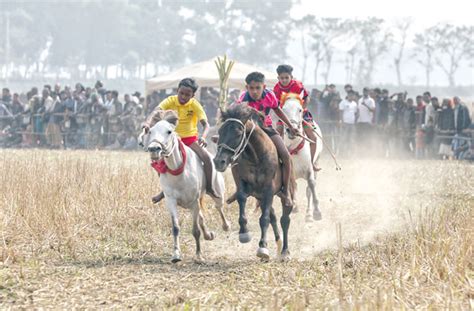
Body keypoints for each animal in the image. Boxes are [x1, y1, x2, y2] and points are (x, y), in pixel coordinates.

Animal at [139, 111, 230, 262]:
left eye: (169, 131)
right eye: (150, 131)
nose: (154, 149)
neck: (179, 173)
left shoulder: (194, 202)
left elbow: (196, 230)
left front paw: (198, 255)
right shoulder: (171, 201)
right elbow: (176, 227)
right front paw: (176, 254)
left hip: (217, 193)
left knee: (219, 207)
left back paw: (226, 226)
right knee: (202, 217)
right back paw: (208, 235)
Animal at [214, 105, 294, 260]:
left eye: (238, 133)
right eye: (220, 131)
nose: (218, 161)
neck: (255, 157)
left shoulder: (269, 189)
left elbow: (264, 219)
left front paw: (262, 247)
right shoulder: (244, 185)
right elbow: (241, 198)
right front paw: (244, 232)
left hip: (287, 193)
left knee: (285, 220)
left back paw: (285, 251)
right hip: (260, 197)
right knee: (273, 217)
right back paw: (279, 244)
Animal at [280, 94, 324, 223]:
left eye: (300, 109)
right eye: (283, 109)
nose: (292, 129)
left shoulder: (309, 170)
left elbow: (311, 186)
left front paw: (316, 212)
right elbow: (291, 186)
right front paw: (294, 205)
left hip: (316, 163)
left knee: (308, 190)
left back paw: (309, 214)